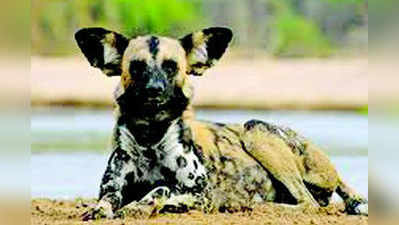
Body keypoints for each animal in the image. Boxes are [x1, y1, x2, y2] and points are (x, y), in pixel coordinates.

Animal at [74, 26, 368, 220]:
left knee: (308, 204)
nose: (154, 90)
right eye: (136, 66)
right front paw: (101, 209)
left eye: (171, 66)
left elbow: (161, 188)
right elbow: (107, 201)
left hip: (254, 130)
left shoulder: (202, 193)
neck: (150, 136)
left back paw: (257, 206)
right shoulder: (112, 189)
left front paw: (141, 205)